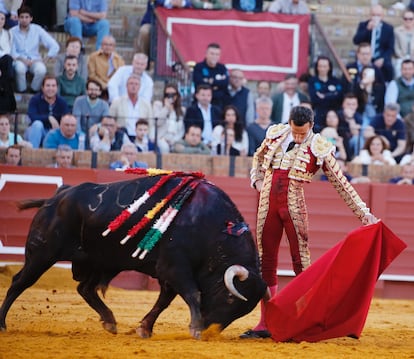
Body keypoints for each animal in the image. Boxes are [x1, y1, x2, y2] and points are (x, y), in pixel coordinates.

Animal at [0, 173, 266, 338]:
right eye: (230, 299)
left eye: (242, 310)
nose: (210, 330)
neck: (212, 226)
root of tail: (56, 198)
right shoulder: (175, 267)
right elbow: (192, 293)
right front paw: (195, 329)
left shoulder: (167, 273)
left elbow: (164, 301)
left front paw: (145, 329)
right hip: (41, 254)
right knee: (19, 282)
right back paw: (2, 323)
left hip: (98, 260)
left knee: (85, 289)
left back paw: (110, 320)